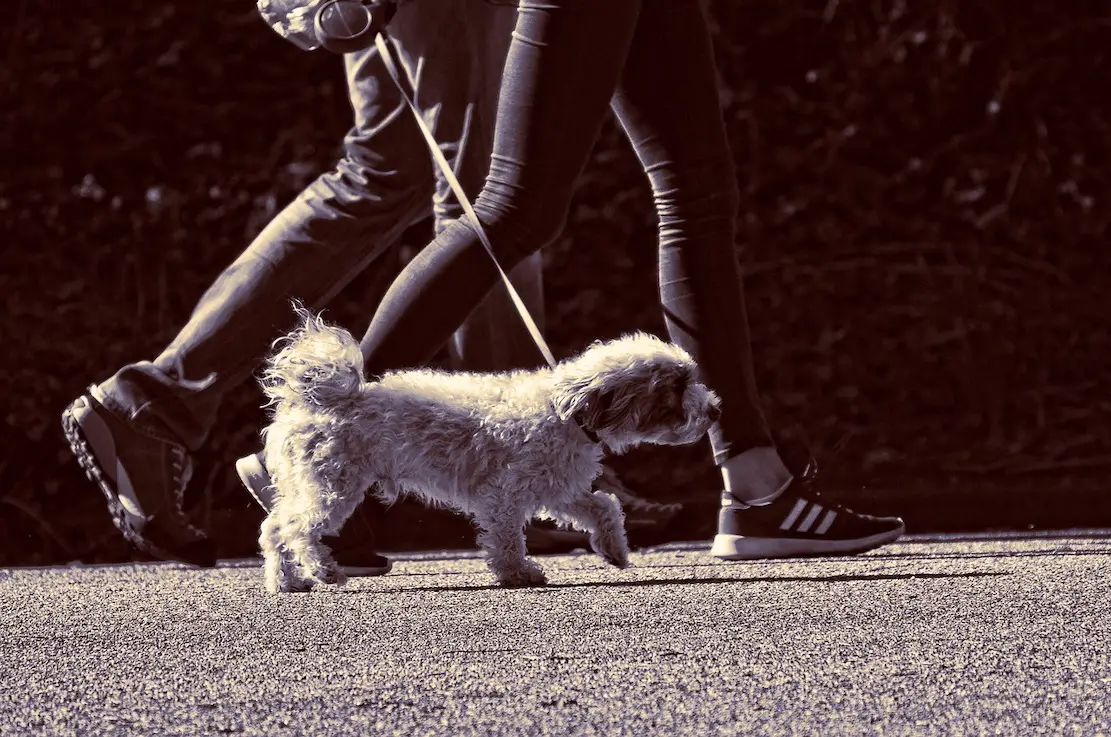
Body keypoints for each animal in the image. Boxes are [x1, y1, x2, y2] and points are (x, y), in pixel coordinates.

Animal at [259, 306, 724, 595]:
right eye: (677, 387)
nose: (716, 410)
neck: (566, 412)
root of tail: (319, 399)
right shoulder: (506, 493)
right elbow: (506, 538)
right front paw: (519, 573)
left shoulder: (560, 488)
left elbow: (605, 506)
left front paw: (614, 550)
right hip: (333, 485)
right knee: (295, 529)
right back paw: (323, 570)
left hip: (315, 482)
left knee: (274, 529)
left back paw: (287, 582)